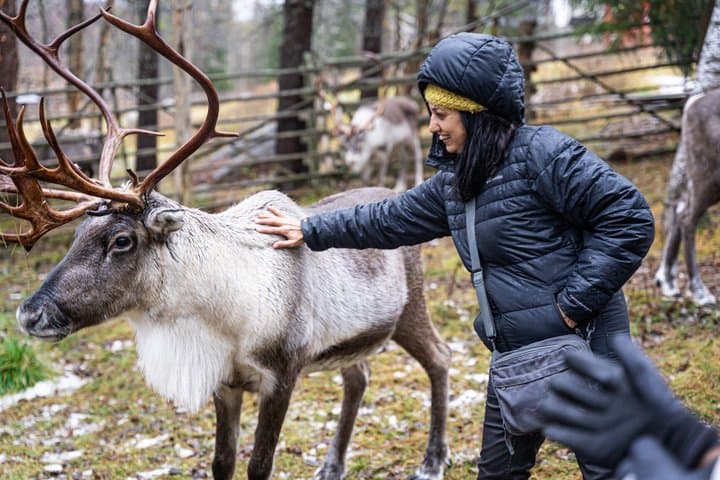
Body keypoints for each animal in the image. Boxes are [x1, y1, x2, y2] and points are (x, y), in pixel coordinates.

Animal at [0, 3, 451, 480]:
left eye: (121, 240)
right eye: (79, 232)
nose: (29, 313)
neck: (221, 315)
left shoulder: (282, 376)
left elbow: (259, 465)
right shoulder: (225, 384)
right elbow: (222, 461)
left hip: (411, 311)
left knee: (439, 358)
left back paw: (432, 459)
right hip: (351, 341)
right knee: (358, 376)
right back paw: (333, 464)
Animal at [654, 89, 720, 306]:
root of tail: (693, 102)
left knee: (681, 206)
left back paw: (667, 281)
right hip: (708, 176)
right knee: (687, 218)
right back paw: (699, 291)